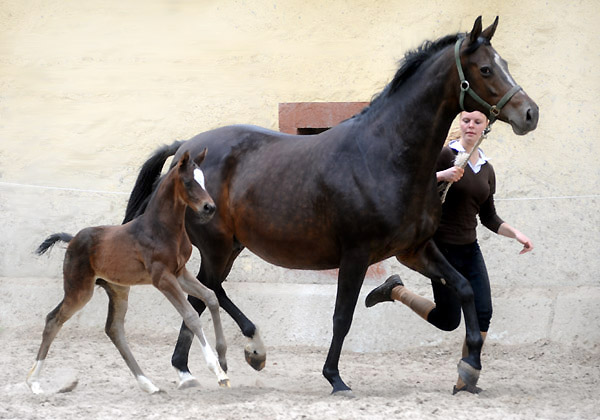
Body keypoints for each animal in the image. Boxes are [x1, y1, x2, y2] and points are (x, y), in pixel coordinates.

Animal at [27, 150, 231, 394]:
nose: (209, 208)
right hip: (80, 290)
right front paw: (218, 372)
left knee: (114, 329)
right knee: (53, 320)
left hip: (118, 290)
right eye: (188, 182)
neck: (161, 229)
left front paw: (224, 361)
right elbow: (191, 315)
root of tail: (73, 239)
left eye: (204, 181)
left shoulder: (180, 273)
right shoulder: (163, 278)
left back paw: (148, 384)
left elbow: (211, 297)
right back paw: (34, 382)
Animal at [122, 15, 540, 394]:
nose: (530, 114)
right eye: (485, 69)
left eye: (505, 63)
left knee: (201, 294)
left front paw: (470, 369)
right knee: (208, 290)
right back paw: (252, 348)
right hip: (218, 246)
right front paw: (335, 378)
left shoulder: (414, 250)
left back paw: (187, 368)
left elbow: (465, 288)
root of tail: (185, 150)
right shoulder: (356, 253)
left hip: (230, 246)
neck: (385, 156)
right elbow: (343, 316)